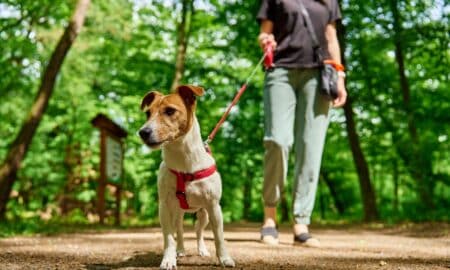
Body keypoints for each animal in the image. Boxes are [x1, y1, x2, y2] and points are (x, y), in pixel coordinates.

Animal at [138, 85, 236, 270]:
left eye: (170, 111)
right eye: (148, 113)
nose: (143, 132)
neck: (183, 163)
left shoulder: (214, 207)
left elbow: (219, 237)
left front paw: (225, 258)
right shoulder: (164, 207)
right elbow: (168, 237)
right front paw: (168, 259)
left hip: (204, 214)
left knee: (199, 231)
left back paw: (202, 250)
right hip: (177, 213)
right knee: (180, 230)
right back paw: (180, 250)